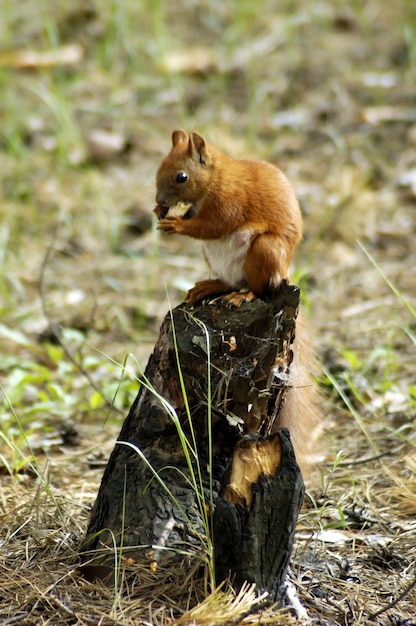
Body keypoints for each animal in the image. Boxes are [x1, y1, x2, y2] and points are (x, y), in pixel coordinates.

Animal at [154, 128, 324, 478]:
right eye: (160, 166)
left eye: (181, 177)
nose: (161, 202)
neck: (215, 179)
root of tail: (283, 272)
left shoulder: (229, 202)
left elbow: (213, 225)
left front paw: (176, 224)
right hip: (216, 258)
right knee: (230, 279)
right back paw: (211, 287)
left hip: (264, 251)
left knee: (257, 286)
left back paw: (244, 295)